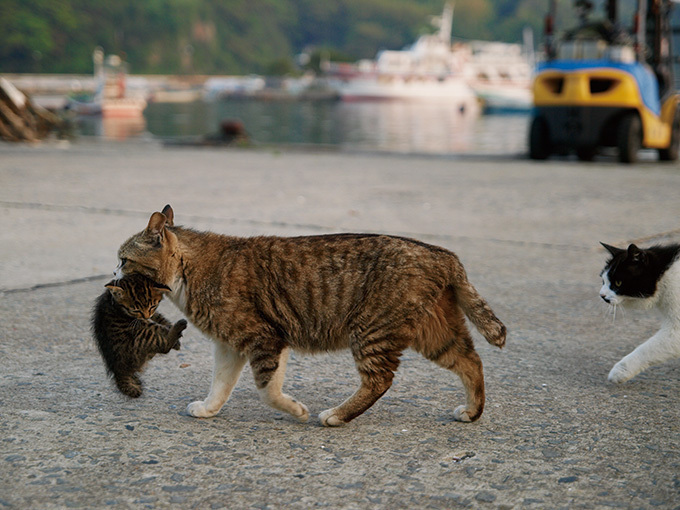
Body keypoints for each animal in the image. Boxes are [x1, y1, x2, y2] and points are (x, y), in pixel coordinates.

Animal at [117, 205, 508, 424]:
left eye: (123, 258)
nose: (113, 272)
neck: (188, 272)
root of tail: (443, 254)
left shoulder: (263, 338)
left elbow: (267, 390)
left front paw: (296, 411)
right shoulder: (230, 346)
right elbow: (221, 384)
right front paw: (209, 409)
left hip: (372, 331)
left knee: (379, 381)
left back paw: (336, 415)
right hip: (435, 334)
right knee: (471, 362)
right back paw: (472, 412)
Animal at [600, 243, 680, 382]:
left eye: (618, 283)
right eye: (603, 281)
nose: (602, 295)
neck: (665, 275)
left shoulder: (676, 331)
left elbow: (646, 349)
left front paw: (620, 370)